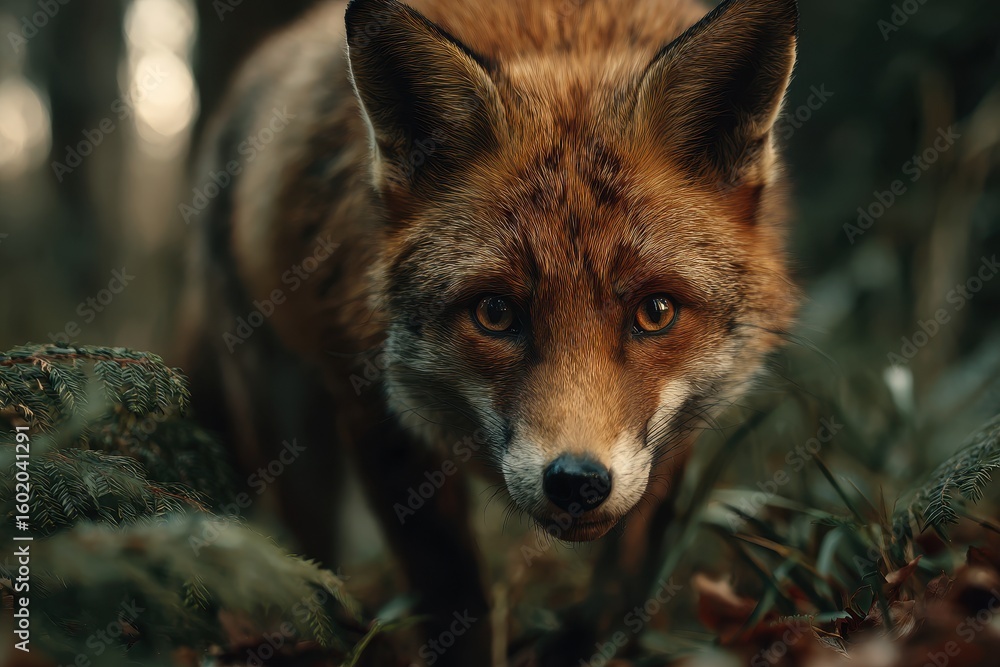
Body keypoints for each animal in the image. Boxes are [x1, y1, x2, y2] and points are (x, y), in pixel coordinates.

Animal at [178, 0, 799, 663]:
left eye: (655, 312)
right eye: (495, 313)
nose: (577, 483)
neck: (563, 35)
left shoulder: (682, 421)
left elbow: (623, 583)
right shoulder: (374, 408)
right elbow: (453, 594)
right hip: (285, 423)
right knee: (311, 563)